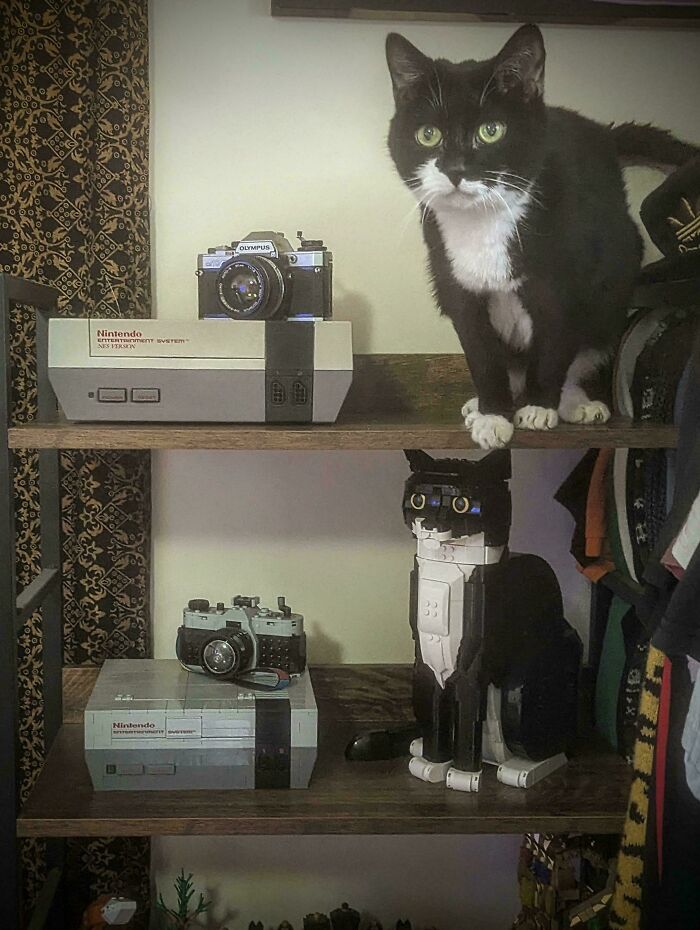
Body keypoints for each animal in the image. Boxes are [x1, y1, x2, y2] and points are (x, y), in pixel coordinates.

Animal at [386, 27, 696, 448]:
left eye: (491, 131)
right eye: (428, 134)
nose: (455, 169)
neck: (484, 226)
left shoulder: (563, 285)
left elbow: (555, 346)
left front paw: (537, 408)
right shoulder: (456, 285)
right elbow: (481, 352)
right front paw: (493, 413)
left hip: (614, 278)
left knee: (586, 344)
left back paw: (574, 402)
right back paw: (483, 403)